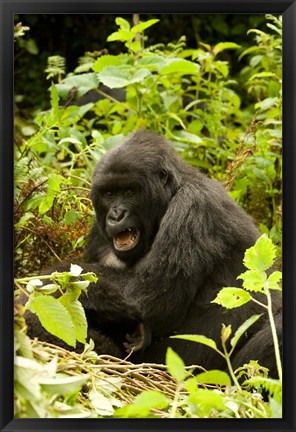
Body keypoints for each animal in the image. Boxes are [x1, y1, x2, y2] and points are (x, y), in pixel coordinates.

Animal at [21, 130, 282, 376]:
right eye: (108, 194)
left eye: (129, 192)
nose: (116, 215)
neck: (173, 191)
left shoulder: (194, 207)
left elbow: (146, 297)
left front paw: (40, 285)